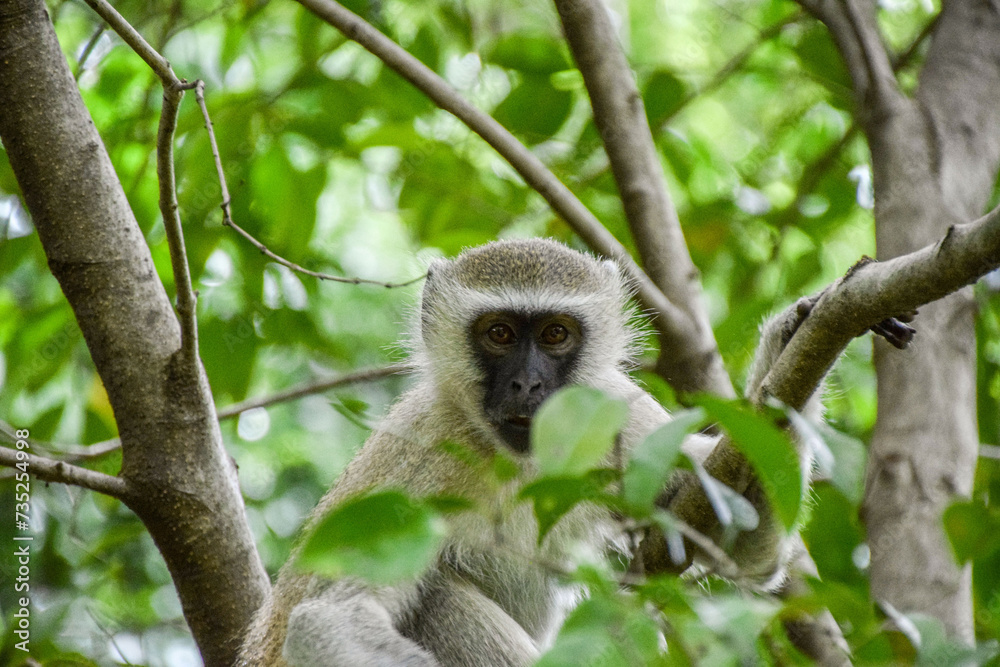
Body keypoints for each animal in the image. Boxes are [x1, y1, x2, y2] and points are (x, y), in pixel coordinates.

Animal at [237, 238, 834, 667]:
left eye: (555, 334)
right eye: (500, 333)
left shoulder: (623, 416)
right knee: (435, 597)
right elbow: (325, 618)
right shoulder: (418, 454)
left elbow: (746, 549)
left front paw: (790, 350)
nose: (527, 384)